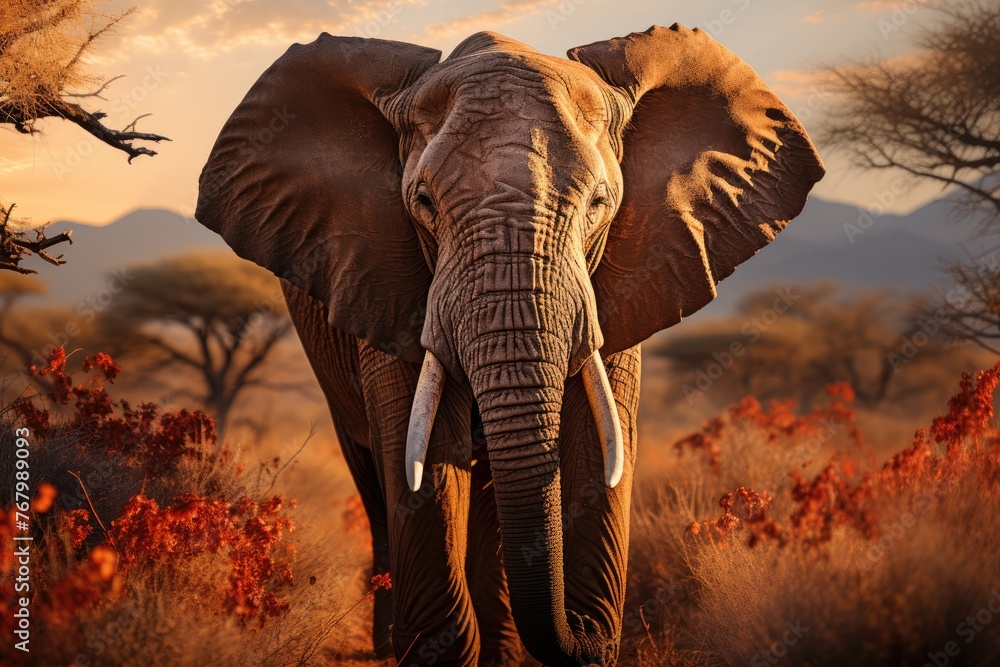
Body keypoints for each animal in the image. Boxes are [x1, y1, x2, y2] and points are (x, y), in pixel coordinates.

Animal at [193, 23, 820, 667]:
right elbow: (423, 460)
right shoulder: (387, 280)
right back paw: (387, 641)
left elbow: (594, 441)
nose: (582, 631)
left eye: (600, 204)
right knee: (373, 476)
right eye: (423, 203)